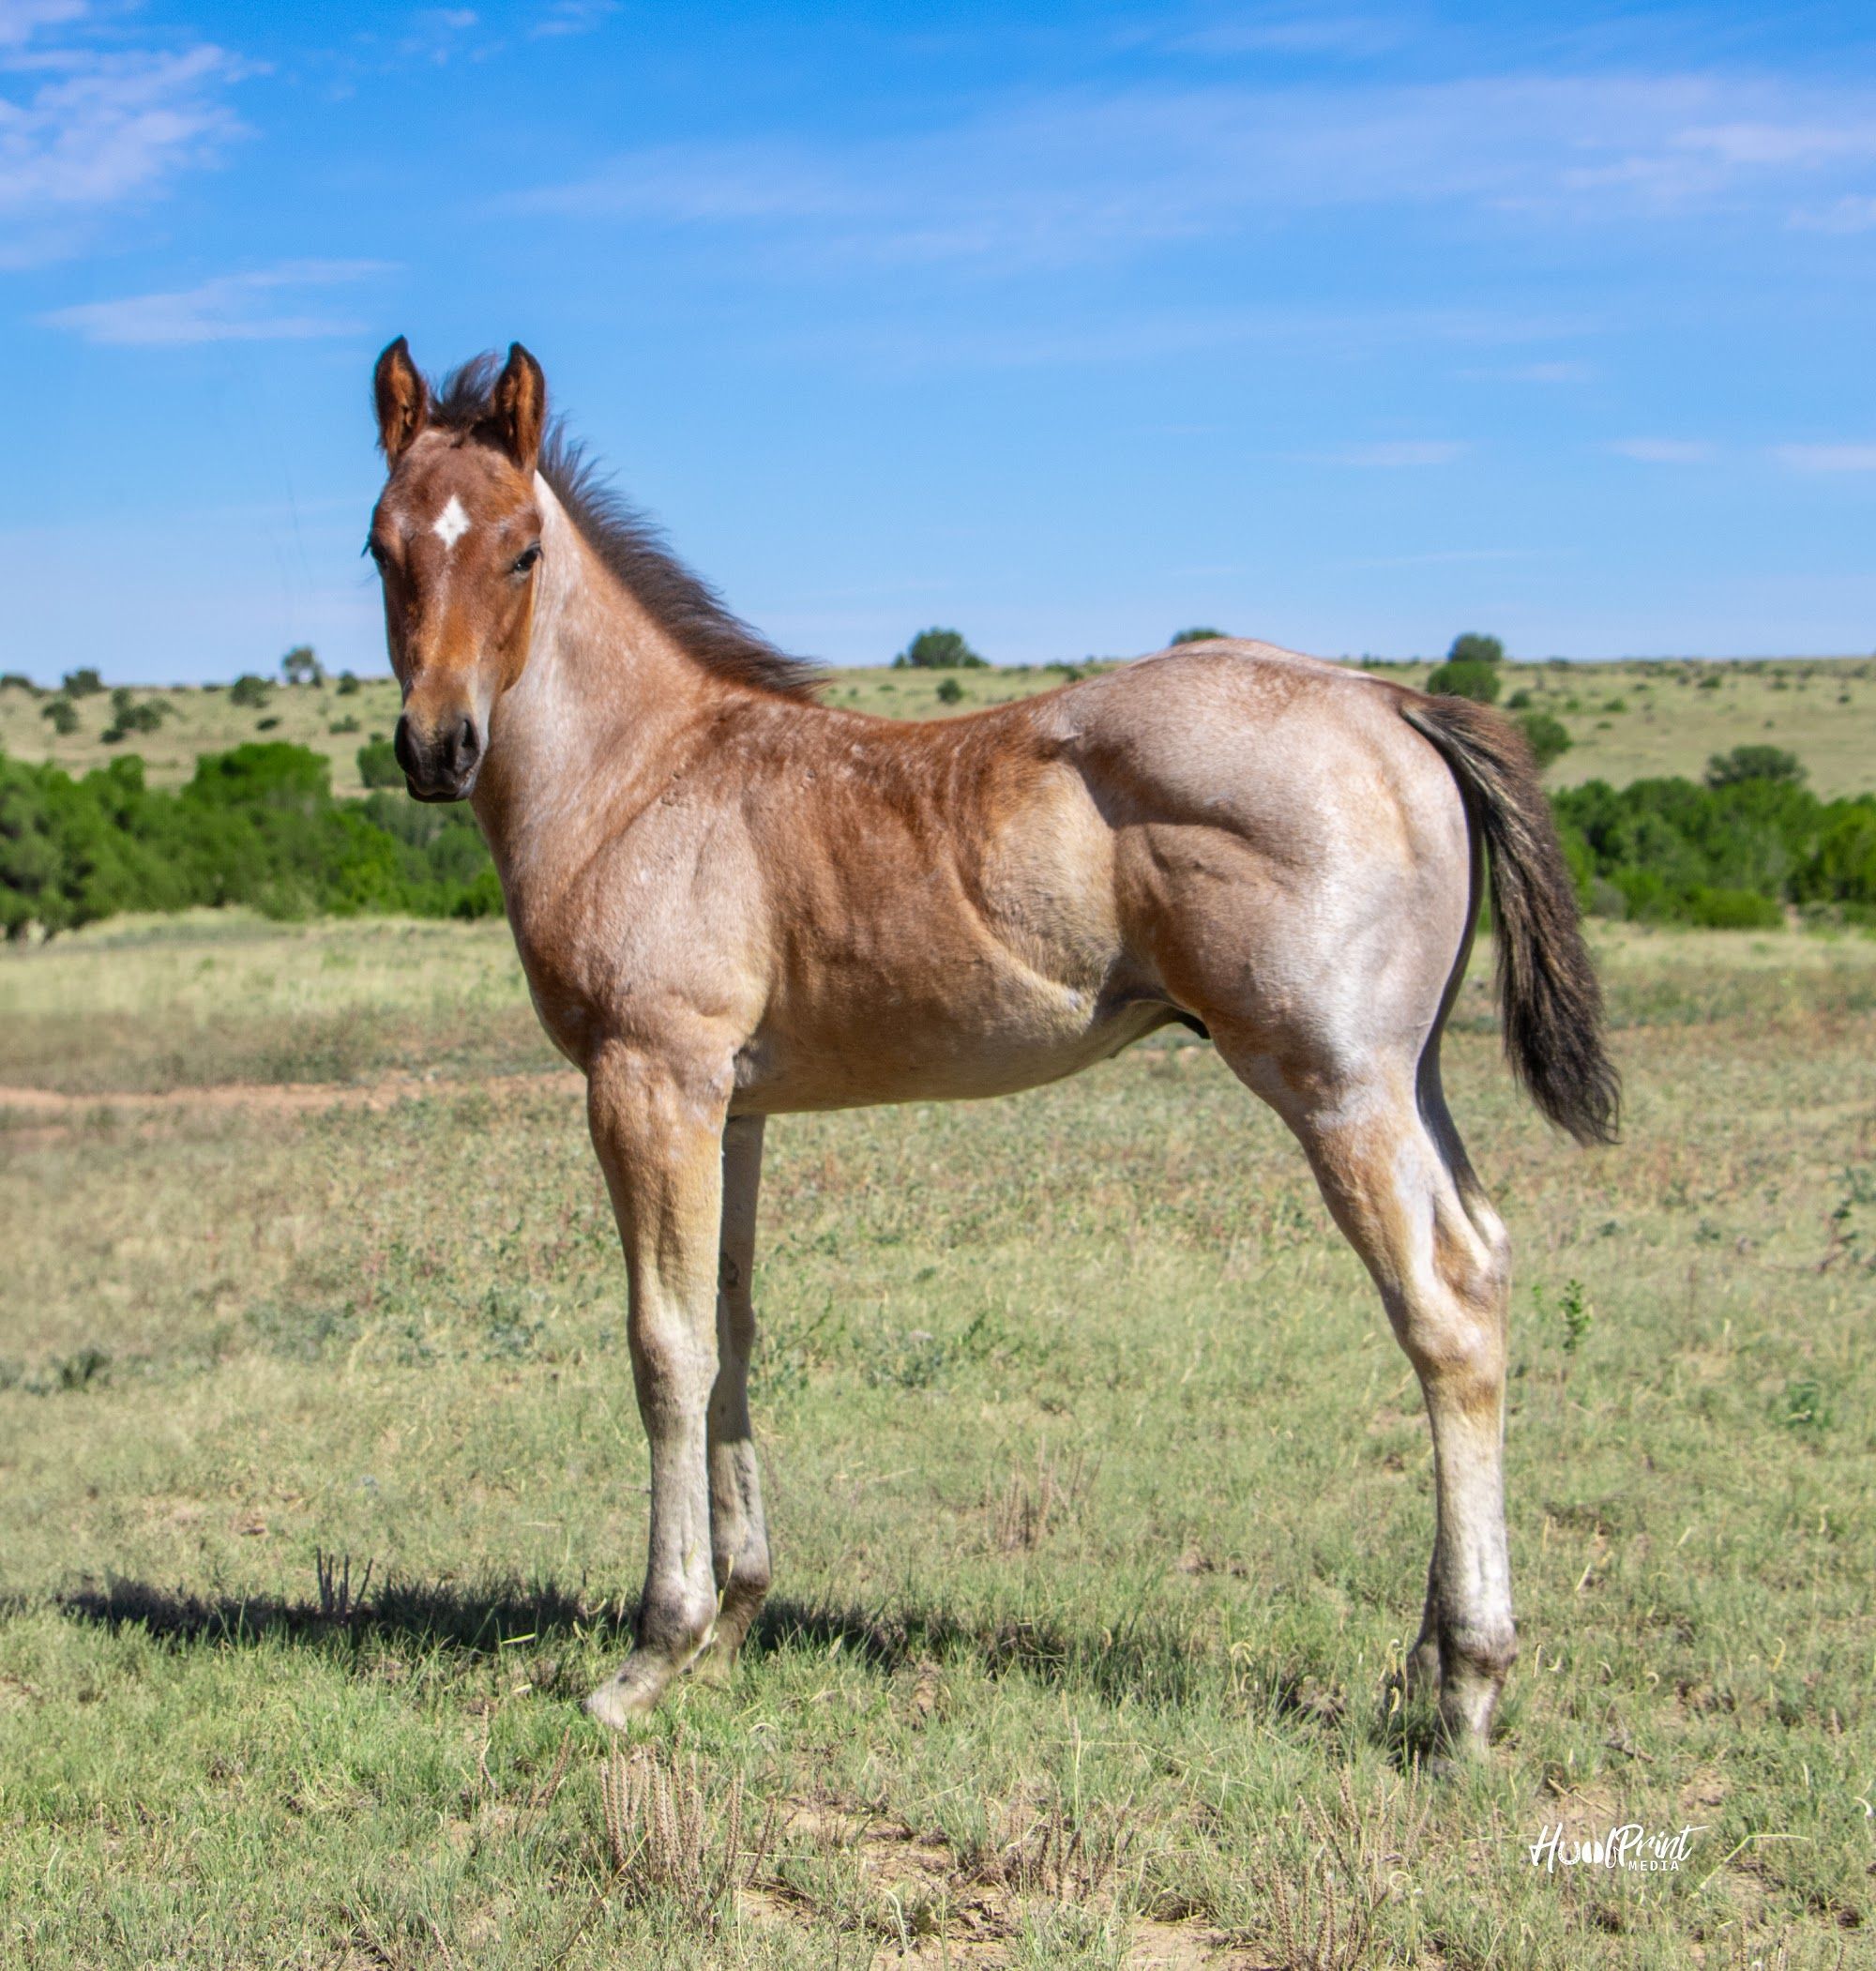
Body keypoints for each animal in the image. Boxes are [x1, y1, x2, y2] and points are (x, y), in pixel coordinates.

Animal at [366, 337, 1618, 1759]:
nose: (435, 746)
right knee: (1489, 1262)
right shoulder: (733, 1108)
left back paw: (1467, 1686)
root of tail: (1394, 701)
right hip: (1412, 1080)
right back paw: (1423, 1662)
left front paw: (652, 1652)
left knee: (1443, 1315)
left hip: (1337, 1087)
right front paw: (736, 1619)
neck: (645, 777)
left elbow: (664, 1345)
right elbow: (733, 1326)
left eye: (522, 549)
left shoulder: (648, 1084)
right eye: (383, 546)